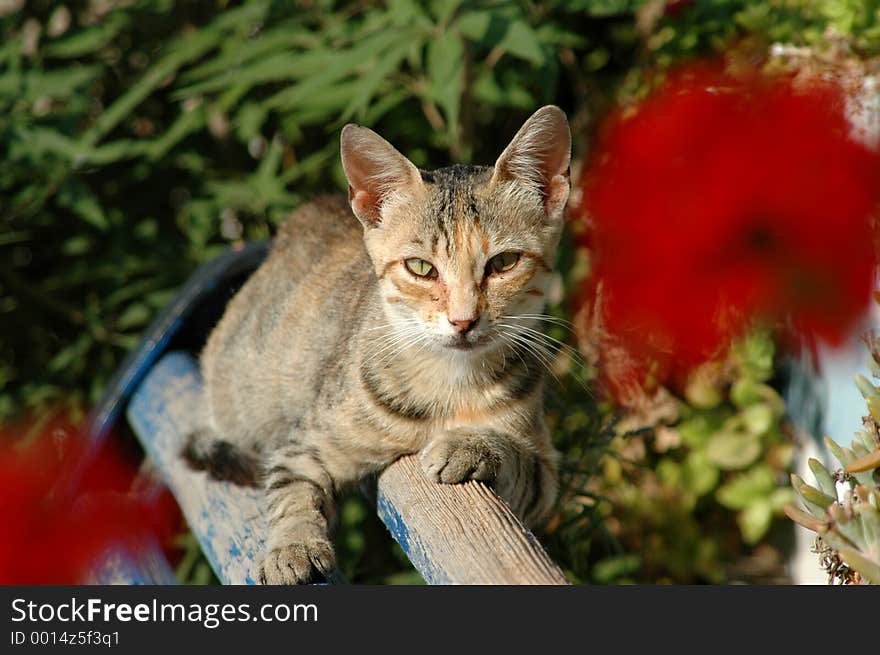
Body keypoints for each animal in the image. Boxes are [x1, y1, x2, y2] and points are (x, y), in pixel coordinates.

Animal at [184, 106, 572, 584]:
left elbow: (516, 455)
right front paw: (292, 547)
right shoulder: (307, 444)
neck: (450, 382)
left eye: (504, 262)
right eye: (421, 268)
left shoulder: (543, 474)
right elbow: (292, 492)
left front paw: (471, 445)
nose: (463, 320)